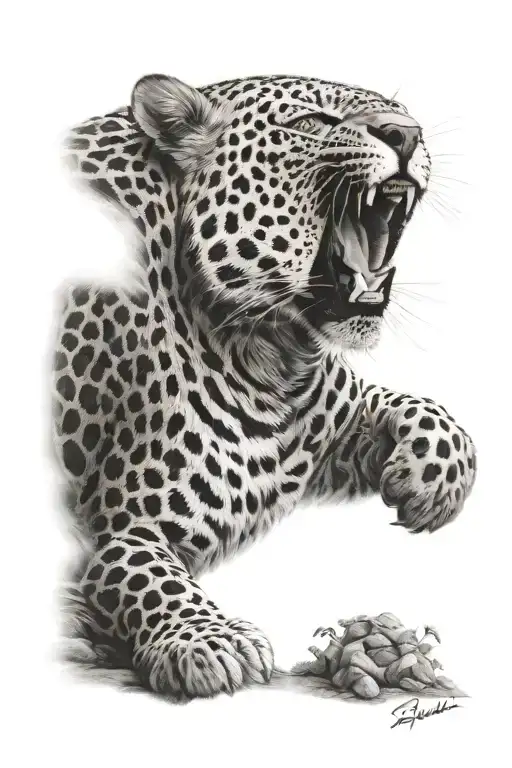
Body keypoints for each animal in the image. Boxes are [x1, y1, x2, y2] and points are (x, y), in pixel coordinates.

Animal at [55, 73, 476, 700]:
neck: (272, 360)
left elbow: (418, 407)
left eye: (403, 114)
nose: (406, 135)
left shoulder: (325, 424)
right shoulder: (115, 527)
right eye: (311, 123)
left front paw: (436, 478)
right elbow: (149, 573)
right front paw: (208, 642)